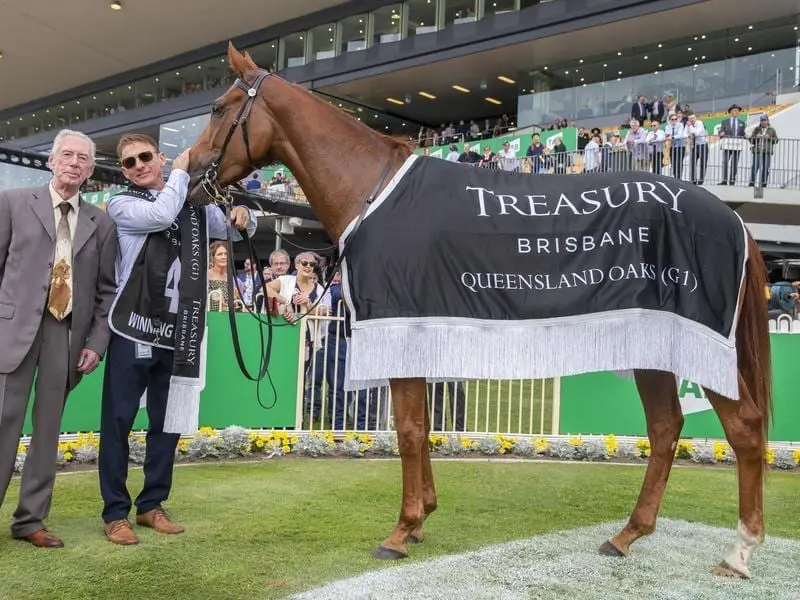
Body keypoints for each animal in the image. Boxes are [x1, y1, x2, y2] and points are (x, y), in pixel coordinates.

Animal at [186, 43, 772, 580]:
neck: (373, 192)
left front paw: (401, 529)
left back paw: (739, 553)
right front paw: (422, 517)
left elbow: (409, 429)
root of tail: (734, 220)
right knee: (667, 428)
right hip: (654, 344)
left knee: (742, 429)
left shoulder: (398, 328)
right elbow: (420, 426)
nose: (188, 174)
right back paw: (627, 535)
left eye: (217, 107)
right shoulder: (418, 333)